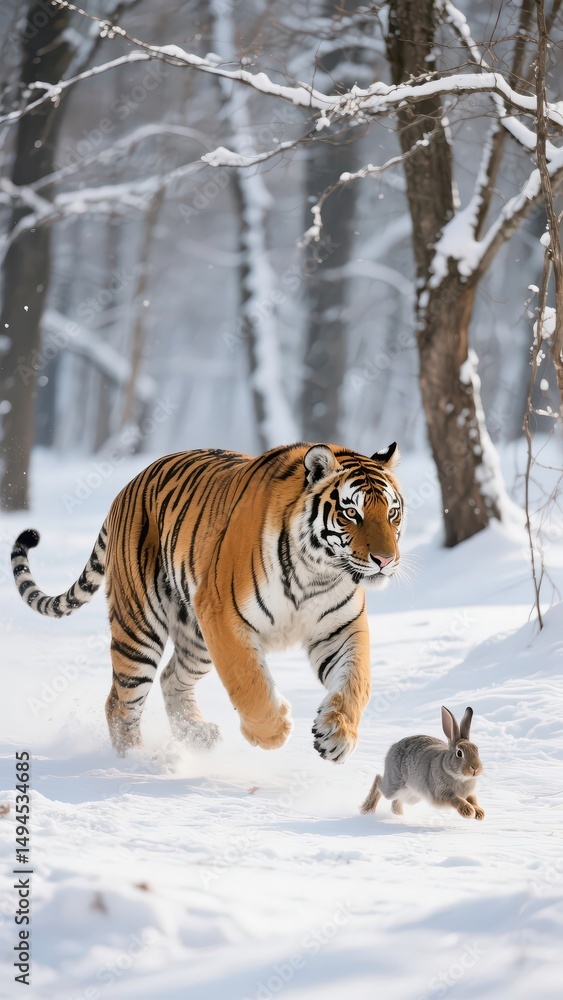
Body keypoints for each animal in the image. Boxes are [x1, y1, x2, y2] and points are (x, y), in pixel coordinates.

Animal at [11, 441, 403, 763]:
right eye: (351, 513)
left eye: (392, 513)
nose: (385, 560)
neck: (317, 572)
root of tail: (125, 489)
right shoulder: (224, 615)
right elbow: (248, 681)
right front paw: (272, 732)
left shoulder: (340, 628)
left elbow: (356, 682)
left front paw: (337, 736)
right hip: (140, 629)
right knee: (120, 703)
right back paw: (139, 760)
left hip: (196, 637)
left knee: (171, 678)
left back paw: (198, 736)